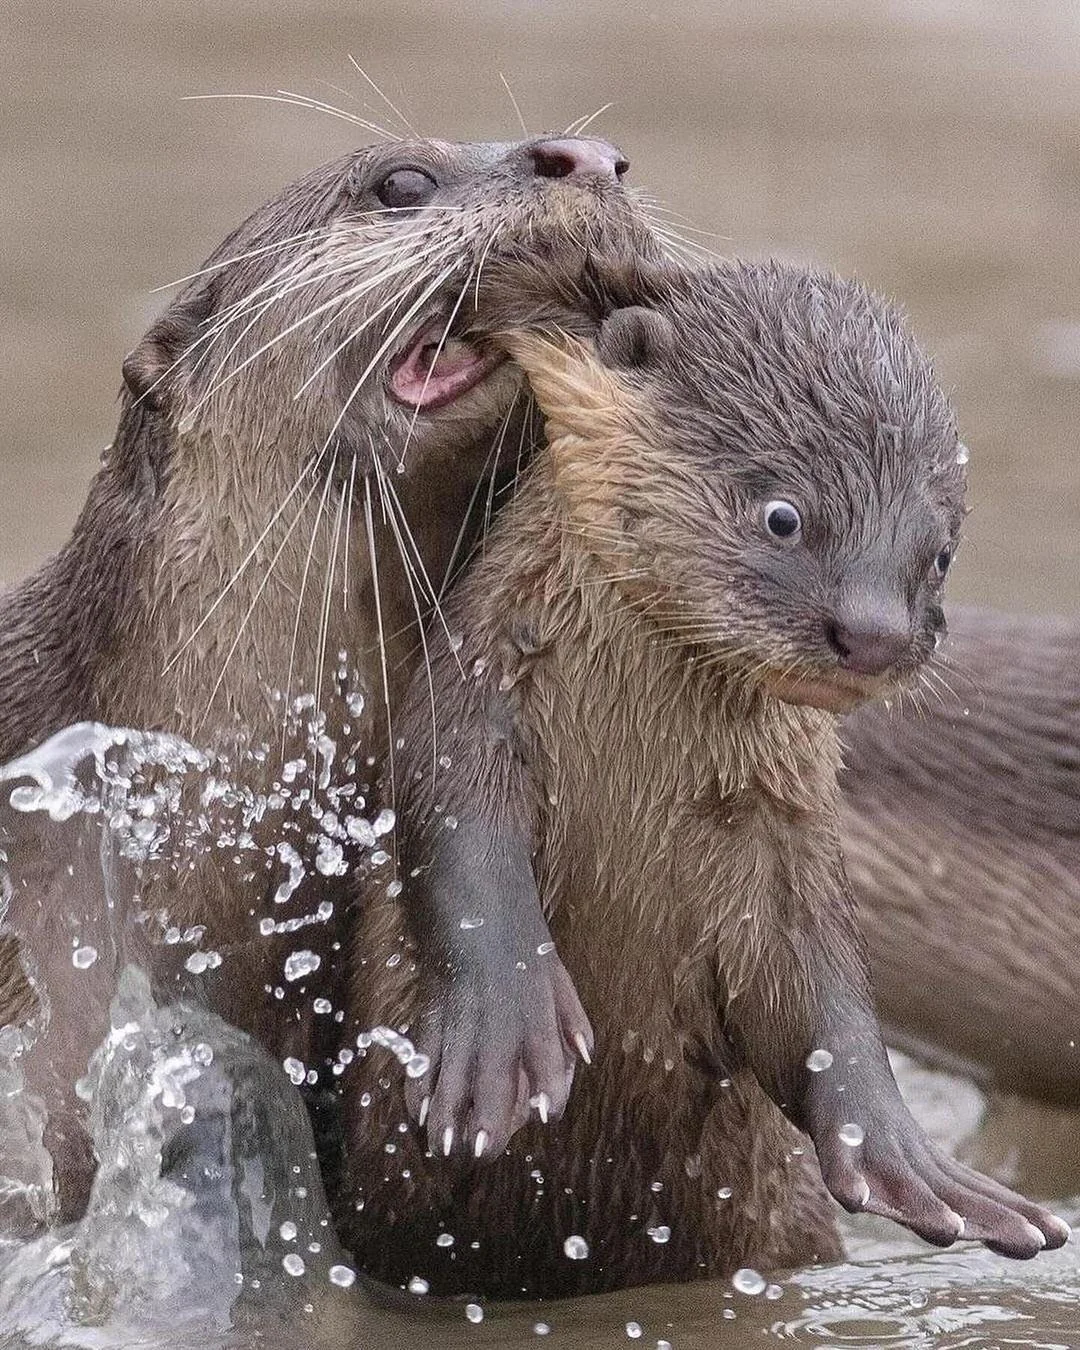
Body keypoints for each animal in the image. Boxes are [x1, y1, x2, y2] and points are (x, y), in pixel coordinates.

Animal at [341, 253, 1069, 1296]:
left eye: (938, 553)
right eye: (784, 515)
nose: (876, 634)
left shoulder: (785, 831)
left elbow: (822, 990)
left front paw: (910, 1159)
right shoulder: (472, 705)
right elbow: (461, 849)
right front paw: (505, 1035)